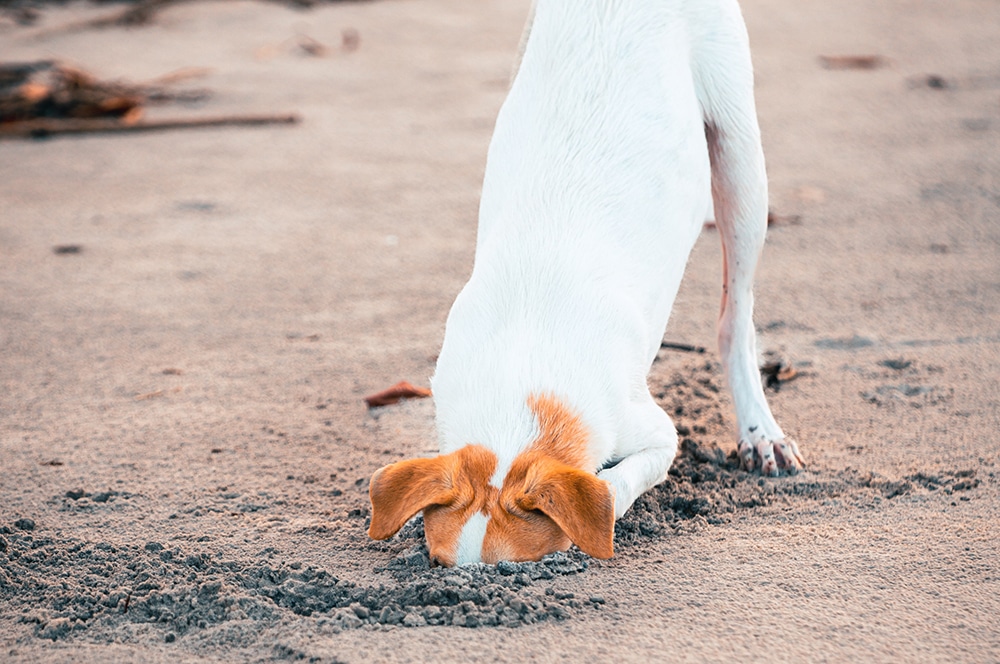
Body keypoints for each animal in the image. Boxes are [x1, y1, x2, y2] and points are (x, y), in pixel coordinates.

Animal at [368, 0, 804, 568]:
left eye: (520, 568)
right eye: (439, 565)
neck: (520, 370)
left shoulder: (654, 432)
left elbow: (613, 486)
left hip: (740, 162)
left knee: (737, 315)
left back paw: (760, 431)